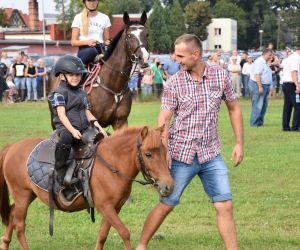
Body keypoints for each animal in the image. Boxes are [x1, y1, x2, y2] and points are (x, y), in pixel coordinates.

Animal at [0, 126, 173, 249]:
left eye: (165, 151)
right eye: (148, 154)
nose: (169, 186)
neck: (111, 164)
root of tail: (12, 147)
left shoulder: (114, 208)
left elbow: (102, 235)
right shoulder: (105, 207)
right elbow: (124, 232)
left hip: (28, 195)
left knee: (12, 214)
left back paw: (5, 243)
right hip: (22, 195)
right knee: (20, 226)